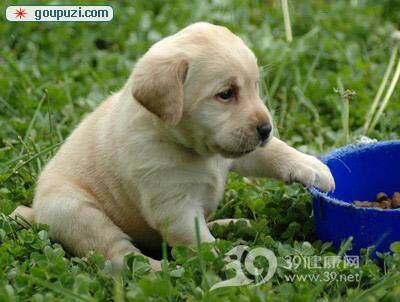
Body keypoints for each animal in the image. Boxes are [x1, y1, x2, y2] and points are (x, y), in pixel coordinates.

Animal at [10, 22, 334, 270]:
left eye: (255, 87)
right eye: (226, 94)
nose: (266, 128)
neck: (193, 149)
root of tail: (35, 212)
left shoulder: (238, 151)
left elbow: (274, 151)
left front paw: (313, 167)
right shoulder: (174, 206)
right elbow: (200, 244)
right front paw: (227, 267)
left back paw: (233, 223)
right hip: (75, 209)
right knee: (119, 256)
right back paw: (153, 269)